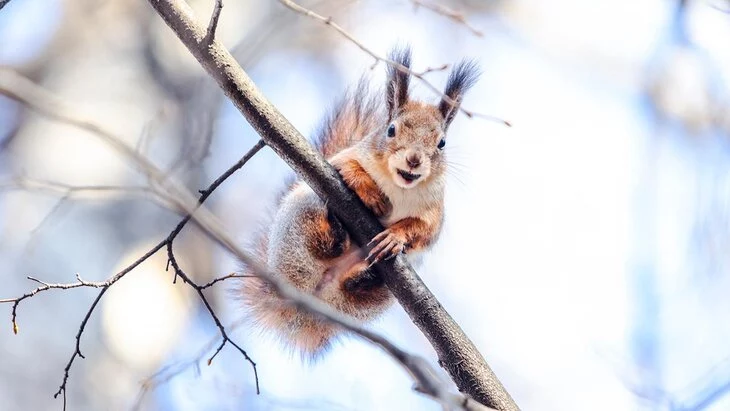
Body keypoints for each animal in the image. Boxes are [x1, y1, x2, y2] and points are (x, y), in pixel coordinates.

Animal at [236, 45, 480, 358]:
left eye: (442, 143)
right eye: (391, 130)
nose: (414, 159)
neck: (400, 187)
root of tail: (306, 303)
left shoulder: (434, 211)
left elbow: (423, 231)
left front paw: (395, 236)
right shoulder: (344, 158)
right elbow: (349, 168)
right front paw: (373, 197)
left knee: (357, 287)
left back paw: (365, 277)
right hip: (300, 216)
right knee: (318, 239)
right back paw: (335, 233)